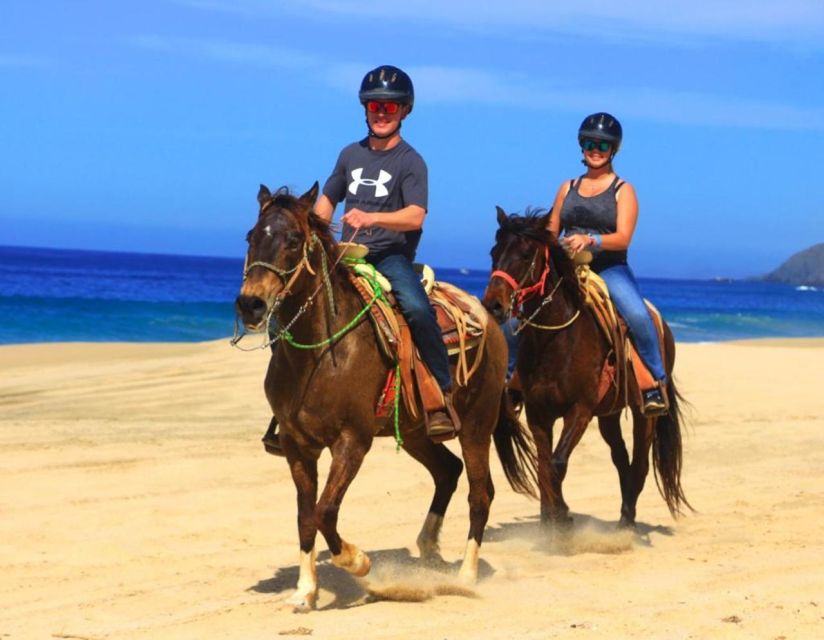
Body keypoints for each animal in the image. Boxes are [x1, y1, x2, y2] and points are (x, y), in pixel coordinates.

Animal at [235, 184, 536, 608]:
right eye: (251, 237)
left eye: (293, 241)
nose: (251, 304)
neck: (322, 353)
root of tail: (489, 320)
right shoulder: (297, 446)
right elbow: (305, 516)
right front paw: (305, 589)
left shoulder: (352, 441)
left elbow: (325, 510)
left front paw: (357, 562)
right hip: (414, 432)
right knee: (448, 471)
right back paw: (429, 548)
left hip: (476, 427)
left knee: (481, 493)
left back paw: (466, 575)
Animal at [482, 209, 688, 528]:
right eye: (494, 252)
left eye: (526, 254)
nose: (493, 305)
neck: (557, 338)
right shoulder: (538, 413)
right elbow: (544, 467)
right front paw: (550, 520)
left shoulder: (579, 410)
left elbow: (557, 464)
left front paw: (561, 517)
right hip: (609, 414)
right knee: (621, 458)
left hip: (644, 415)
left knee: (640, 462)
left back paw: (627, 522)